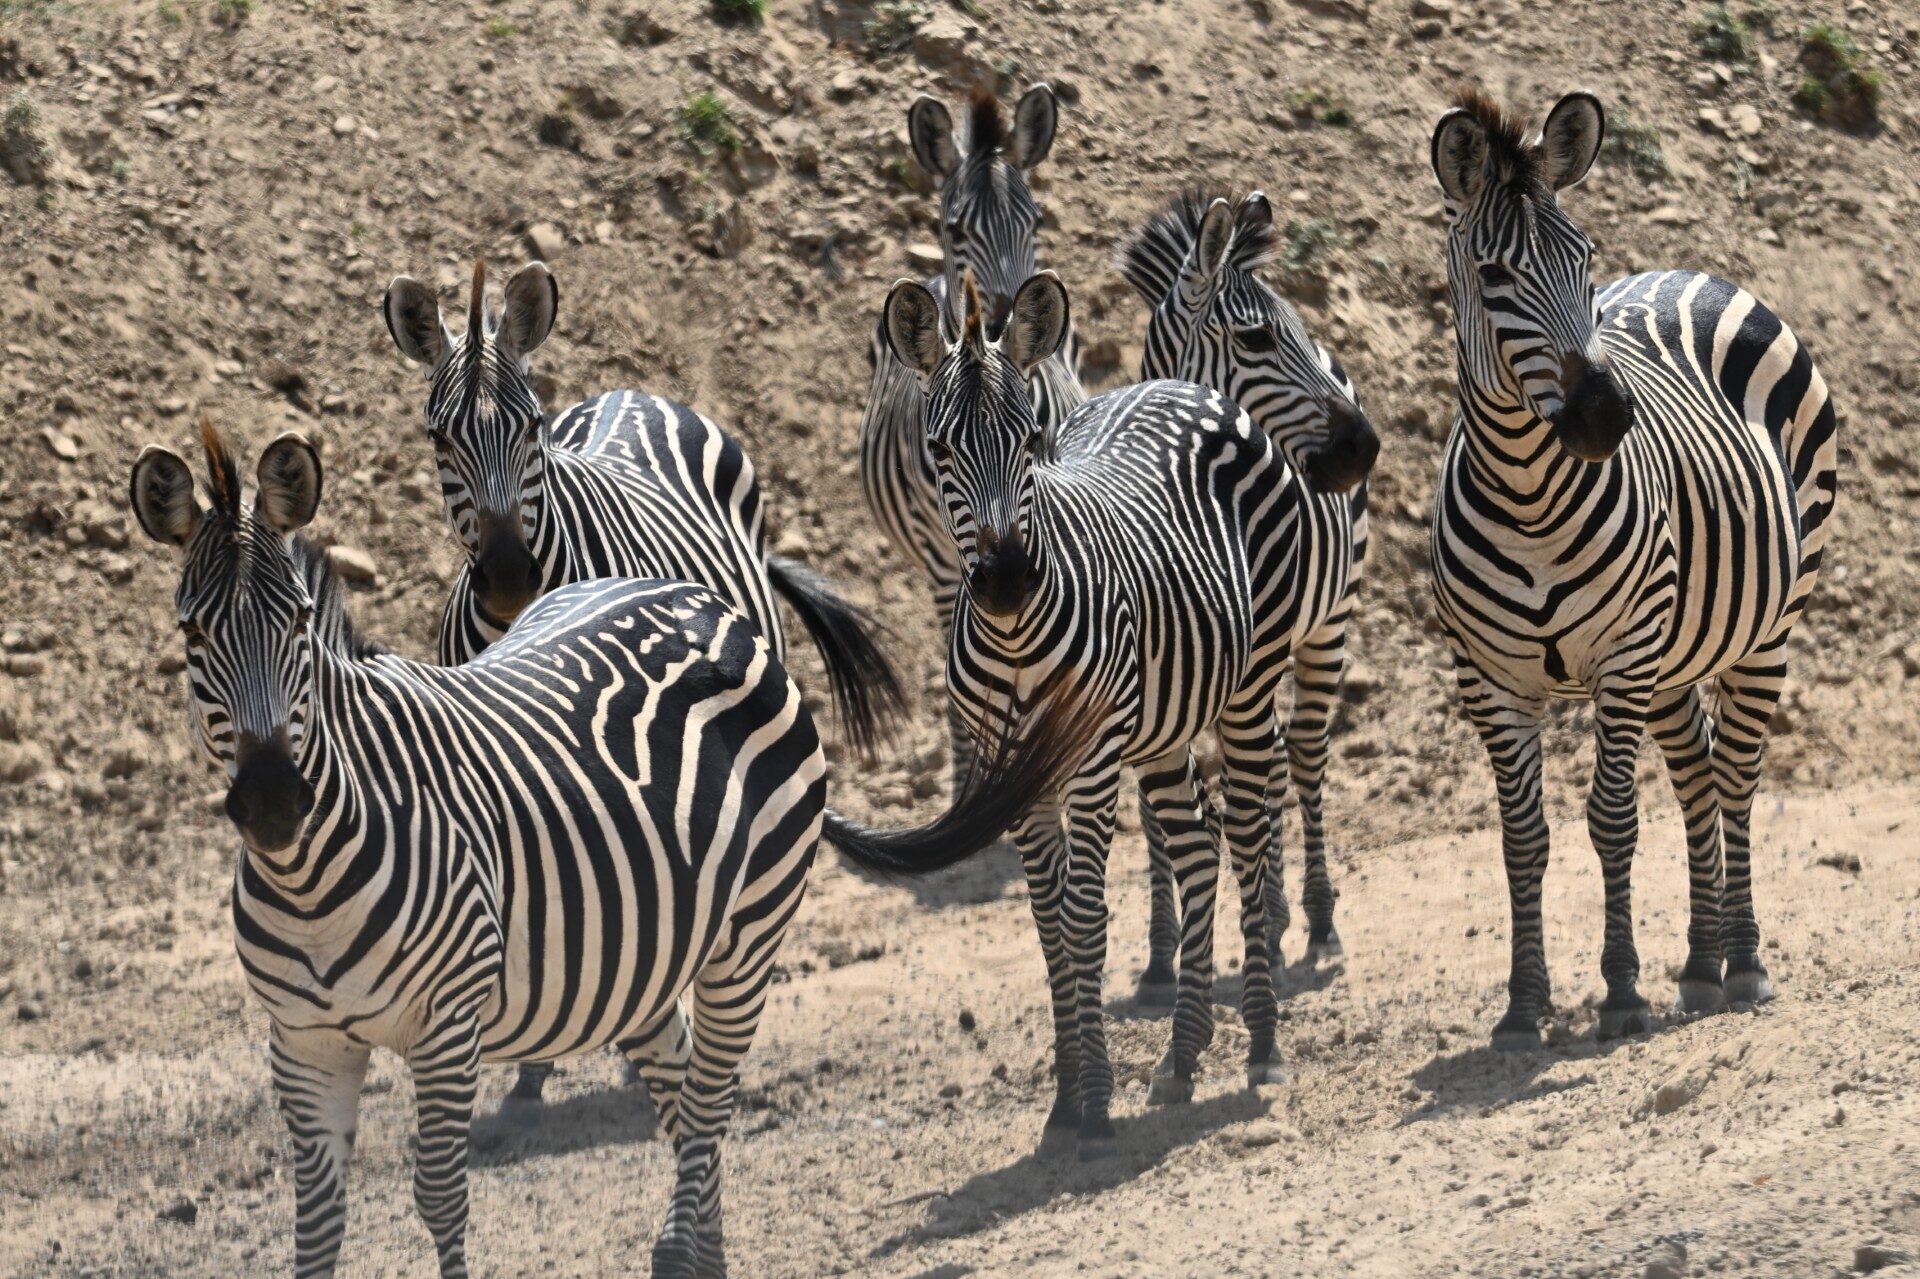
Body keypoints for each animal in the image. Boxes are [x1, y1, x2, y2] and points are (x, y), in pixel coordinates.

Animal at [129, 421, 1094, 1279]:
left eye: (296, 625)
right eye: (191, 636)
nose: (272, 802)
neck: (312, 876)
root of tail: (699, 602)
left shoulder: (446, 1026)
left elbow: (440, 1196)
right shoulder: (303, 1040)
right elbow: (316, 1222)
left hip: (747, 932)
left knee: (710, 1099)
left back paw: (679, 1253)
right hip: (641, 950)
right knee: (682, 1089)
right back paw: (704, 1254)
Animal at [882, 269, 1363, 1157]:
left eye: (1033, 440)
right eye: (939, 451)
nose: (1007, 579)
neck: (1014, 637)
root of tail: (1189, 385)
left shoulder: (1094, 760)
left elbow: (1083, 918)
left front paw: (1094, 1100)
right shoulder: (1015, 775)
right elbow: (1047, 926)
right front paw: (1063, 1099)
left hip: (1252, 681)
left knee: (1248, 834)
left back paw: (1263, 1041)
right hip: (1166, 718)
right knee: (1201, 846)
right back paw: (1182, 1052)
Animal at [1116, 188, 1378, 964]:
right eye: (1257, 340)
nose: (1366, 447)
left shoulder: (1255, 668)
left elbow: (1248, 796)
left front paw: (1261, 920)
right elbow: (1164, 808)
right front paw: (1163, 950)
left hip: (1325, 624)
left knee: (1305, 752)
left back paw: (1314, 915)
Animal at [1426, 90, 1838, 1047]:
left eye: (1583, 260)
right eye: (1492, 276)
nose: (1607, 415)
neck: (1529, 497)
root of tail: (1692, 272)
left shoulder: (1622, 653)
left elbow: (1611, 819)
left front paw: (1619, 992)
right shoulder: (1488, 678)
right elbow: (1523, 839)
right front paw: (1524, 1005)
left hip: (1763, 627)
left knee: (1736, 775)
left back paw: (1744, 961)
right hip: (1674, 656)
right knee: (1695, 778)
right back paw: (1699, 965)